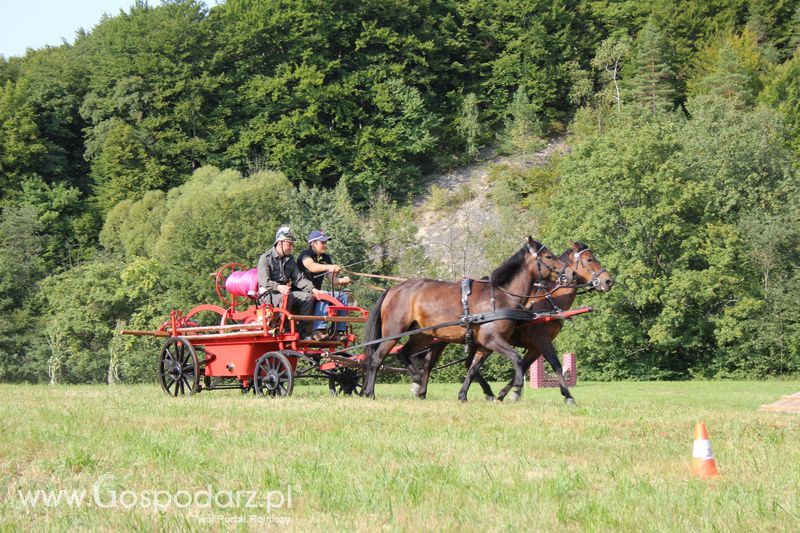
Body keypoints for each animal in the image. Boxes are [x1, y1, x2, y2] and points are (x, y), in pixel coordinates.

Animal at [360, 237, 572, 400]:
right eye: (548, 256)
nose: (569, 274)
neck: (499, 296)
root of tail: (393, 289)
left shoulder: (485, 345)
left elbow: (473, 367)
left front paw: (466, 395)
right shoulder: (493, 340)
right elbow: (517, 358)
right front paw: (517, 389)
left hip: (423, 335)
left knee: (404, 354)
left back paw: (417, 382)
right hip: (394, 332)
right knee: (377, 359)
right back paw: (372, 392)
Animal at [412, 242, 612, 404]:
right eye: (589, 259)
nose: (608, 281)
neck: (547, 300)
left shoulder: (535, 347)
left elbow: (523, 366)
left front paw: (507, 394)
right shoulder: (541, 340)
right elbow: (555, 364)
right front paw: (568, 396)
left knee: (467, 364)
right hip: (442, 339)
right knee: (430, 363)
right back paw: (420, 388)